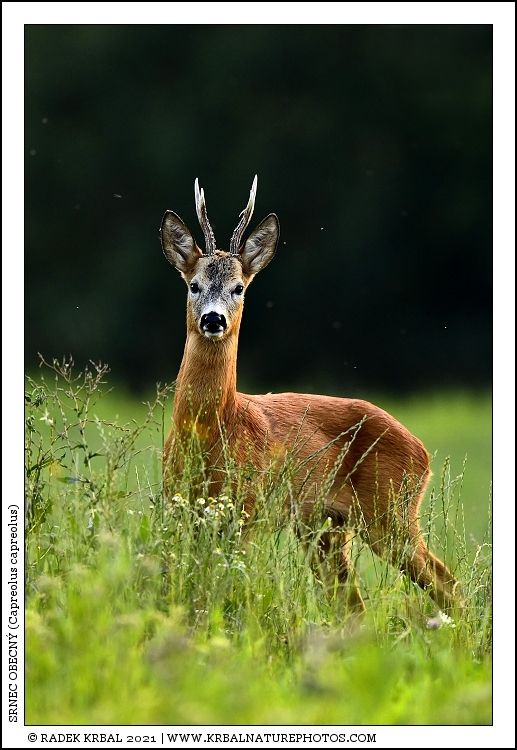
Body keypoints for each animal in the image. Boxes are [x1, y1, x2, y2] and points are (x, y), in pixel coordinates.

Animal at [159, 176, 460, 614]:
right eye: (193, 285)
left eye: (238, 287)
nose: (213, 319)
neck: (213, 429)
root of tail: (422, 452)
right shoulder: (179, 505)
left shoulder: (249, 510)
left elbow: (231, 594)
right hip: (326, 526)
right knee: (354, 605)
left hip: (391, 512)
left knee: (447, 584)